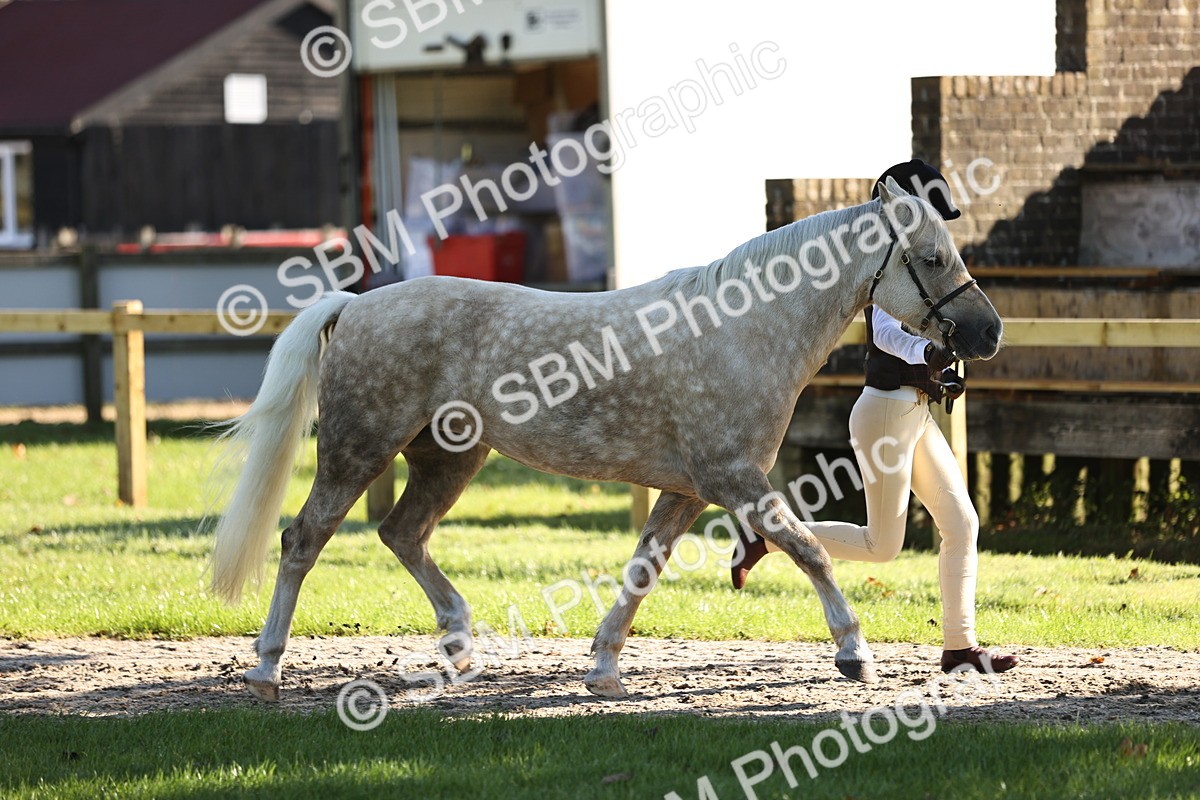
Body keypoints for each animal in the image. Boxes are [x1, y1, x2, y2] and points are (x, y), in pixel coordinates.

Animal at [208, 177, 1002, 701]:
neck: (742, 330)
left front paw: (603, 669)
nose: (988, 331)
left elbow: (644, 567)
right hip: (357, 450)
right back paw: (266, 669)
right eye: (931, 257)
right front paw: (854, 653)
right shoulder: (733, 478)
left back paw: (460, 647)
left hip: (450, 459)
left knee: (402, 533)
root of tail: (354, 304)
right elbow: (808, 549)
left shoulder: (688, 491)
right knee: (303, 540)